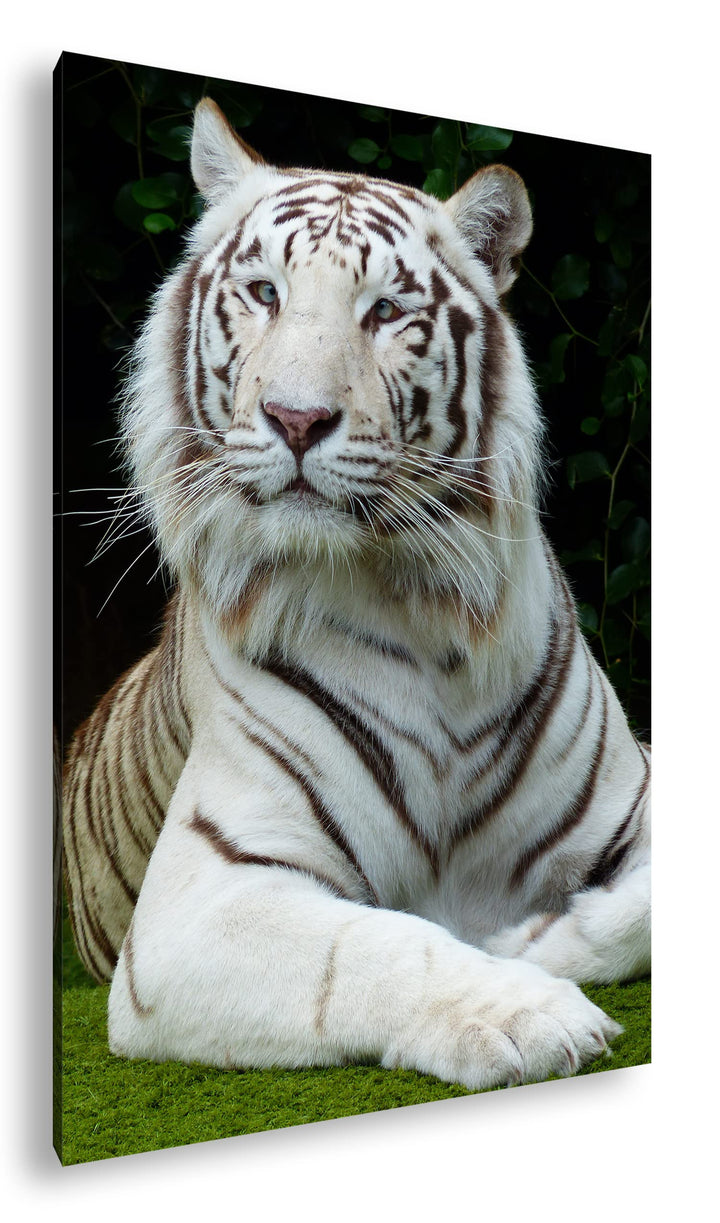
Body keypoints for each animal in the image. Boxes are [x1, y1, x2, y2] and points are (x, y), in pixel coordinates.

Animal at [63, 97, 650, 1091]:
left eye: (386, 312)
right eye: (265, 293)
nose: (296, 419)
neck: (420, 612)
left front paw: (535, 941)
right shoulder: (198, 903)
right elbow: (381, 943)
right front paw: (529, 1009)